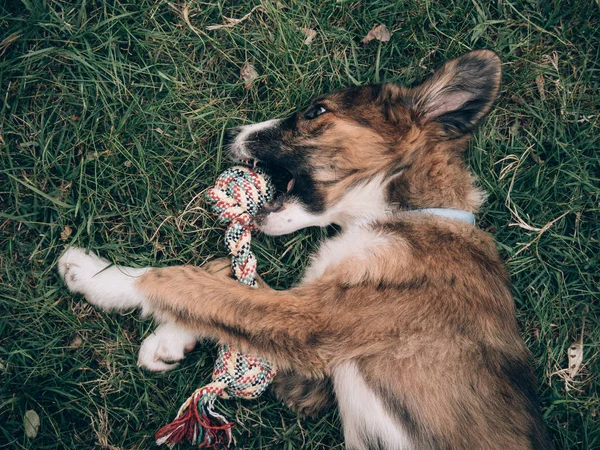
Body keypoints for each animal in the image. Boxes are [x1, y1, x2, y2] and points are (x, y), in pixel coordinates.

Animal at [58, 51, 552, 450]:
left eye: (316, 110)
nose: (230, 131)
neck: (409, 213)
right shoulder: (311, 376)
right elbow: (227, 278)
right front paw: (170, 340)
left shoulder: (316, 323)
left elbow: (185, 281)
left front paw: (99, 276)